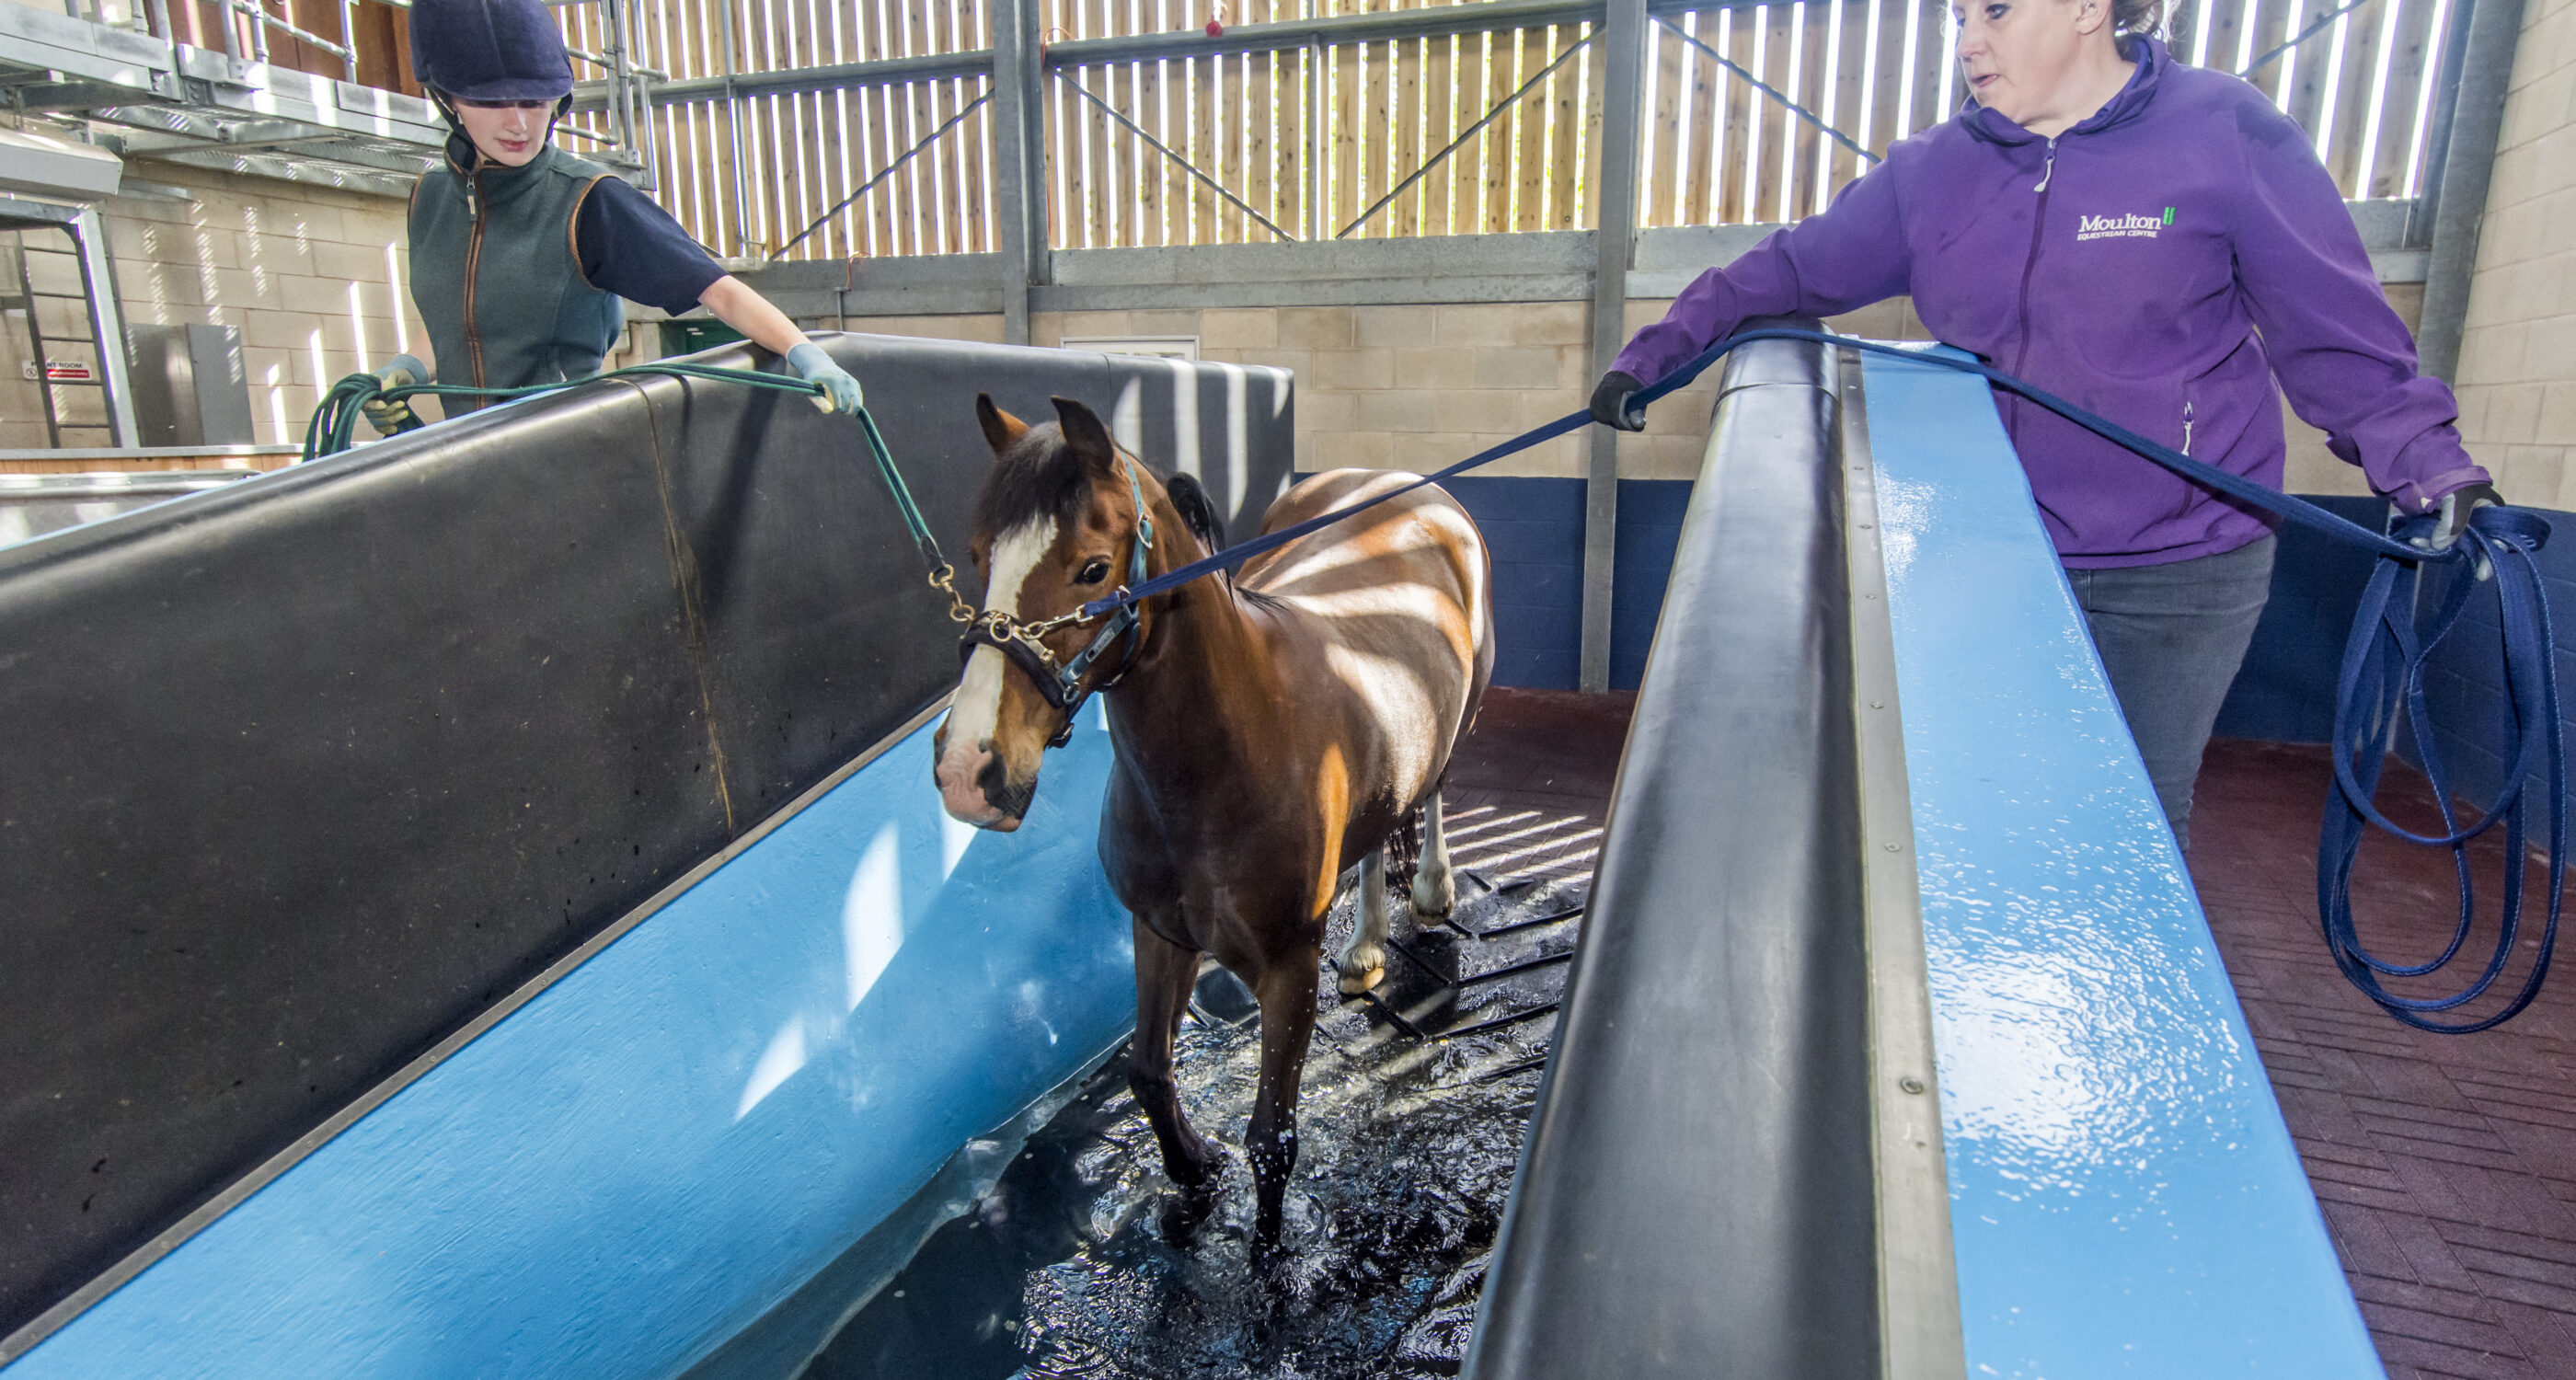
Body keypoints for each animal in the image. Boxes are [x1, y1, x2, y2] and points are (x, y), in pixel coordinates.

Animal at [932, 396, 1494, 1240]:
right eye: (979, 558)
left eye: (1092, 569)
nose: (968, 769)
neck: (1222, 764)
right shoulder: (1159, 933)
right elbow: (1148, 1073)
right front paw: (1194, 1170)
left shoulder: (1289, 970)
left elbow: (1273, 1140)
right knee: (1375, 835)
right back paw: (1364, 947)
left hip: (1464, 714)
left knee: (1431, 791)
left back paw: (1430, 889)